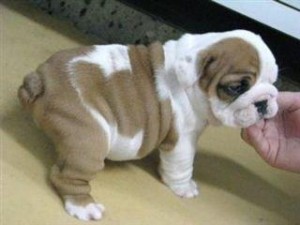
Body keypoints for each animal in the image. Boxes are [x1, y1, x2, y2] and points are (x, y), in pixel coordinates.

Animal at [18, 29, 278, 221]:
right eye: (236, 87)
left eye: (273, 81)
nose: (264, 101)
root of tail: (41, 79)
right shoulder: (183, 139)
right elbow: (182, 165)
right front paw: (183, 187)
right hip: (89, 142)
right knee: (66, 177)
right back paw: (84, 207)